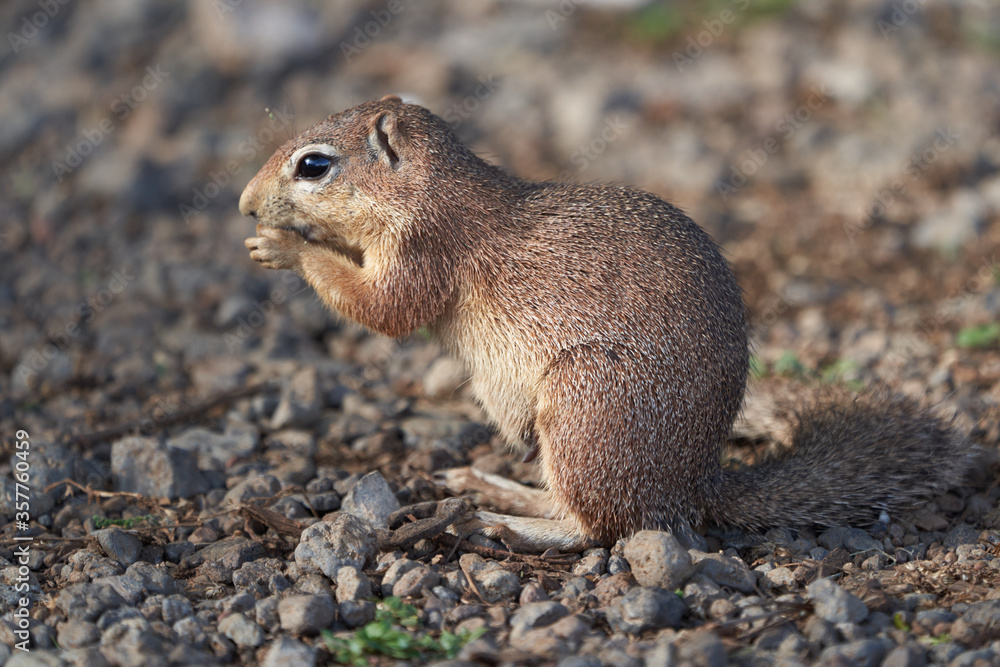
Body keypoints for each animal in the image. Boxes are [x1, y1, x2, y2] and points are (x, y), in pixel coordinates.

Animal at [239, 95, 971, 551]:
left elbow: (386, 309)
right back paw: (491, 486)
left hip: (586, 411)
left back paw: (505, 521)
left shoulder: (426, 249)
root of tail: (692, 488)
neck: (431, 190)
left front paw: (287, 245)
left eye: (314, 164)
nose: (245, 203)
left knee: (599, 527)